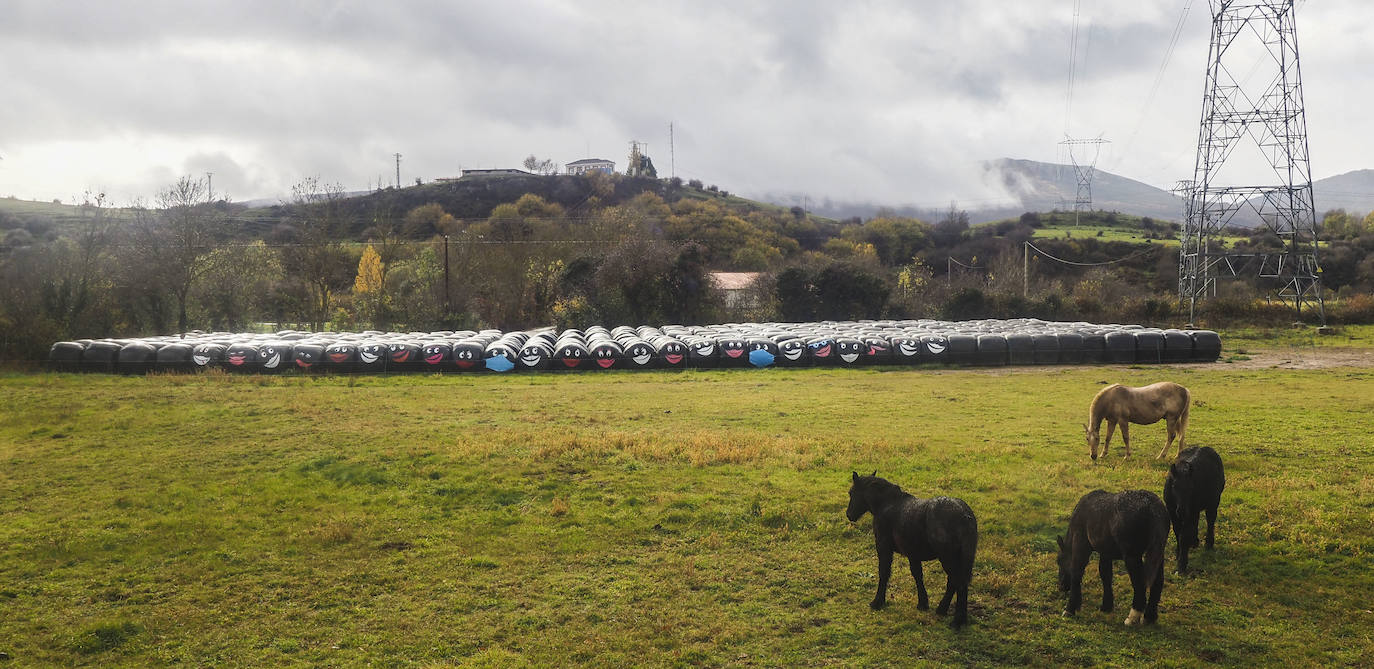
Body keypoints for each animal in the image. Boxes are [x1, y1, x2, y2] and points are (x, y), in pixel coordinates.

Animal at [840, 472, 983, 629]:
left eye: (851, 492)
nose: (849, 515)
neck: (887, 504)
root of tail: (965, 515)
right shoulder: (913, 554)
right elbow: (917, 575)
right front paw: (922, 603)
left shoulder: (884, 548)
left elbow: (884, 573)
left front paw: (877, 602)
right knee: (955, 582)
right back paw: (943, 610)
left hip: (948, 558)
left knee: (958, 582)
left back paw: (957, 621)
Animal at [1055, 489, 1165, 626]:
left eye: (1059, 561)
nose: (1061, 587)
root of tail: (1152, 506)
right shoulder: (1105, 552)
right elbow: (1106, 575)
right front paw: (1106, 606)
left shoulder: (1081, 545)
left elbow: (1076, 573)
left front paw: (1070, 609)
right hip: (1158, 554)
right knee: (1157, 582)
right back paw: (1150, 616)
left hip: (1132, 557)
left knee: (1140, 584)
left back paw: (1132, 617)